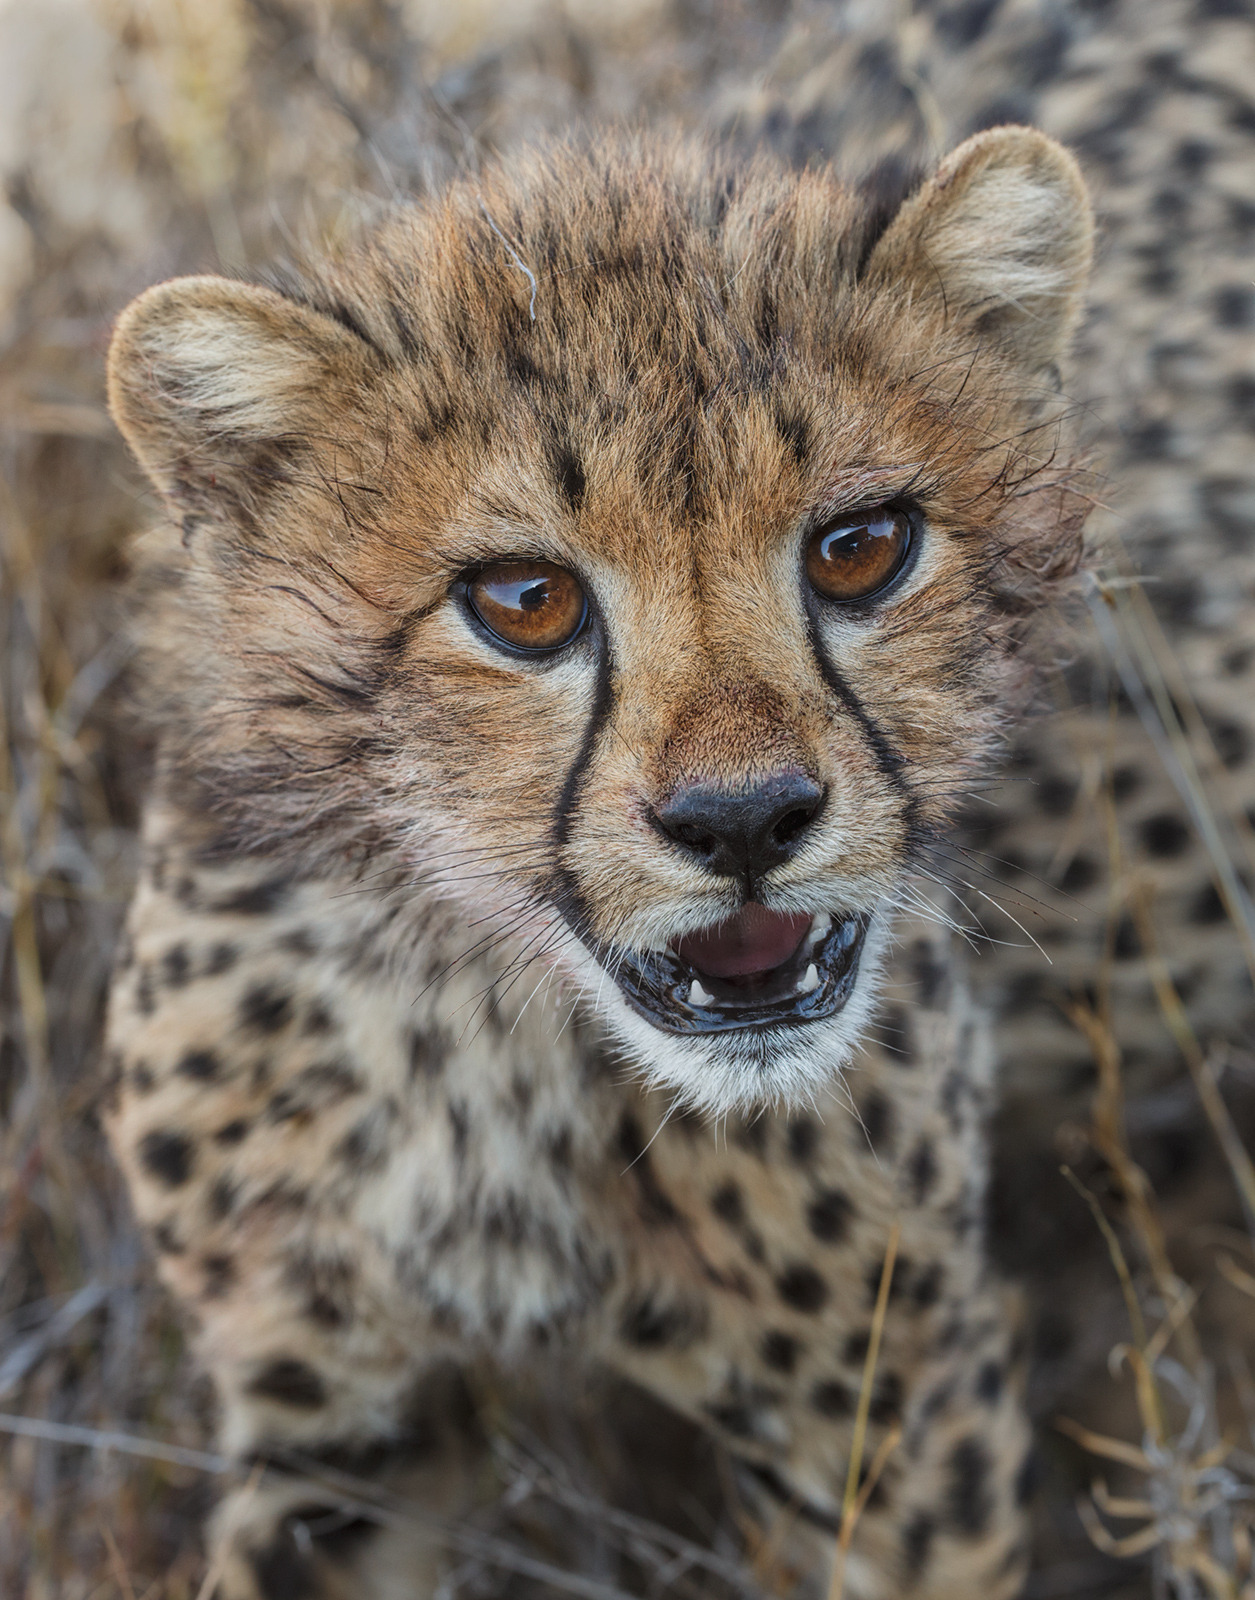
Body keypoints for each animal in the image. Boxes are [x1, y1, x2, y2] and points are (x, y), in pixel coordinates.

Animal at [100, 121, 1093, 1600]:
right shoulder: (339, 1427)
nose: (742, 820)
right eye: (524, 601)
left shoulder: (886, 1410)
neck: (484, 1020)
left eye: (858, 548)